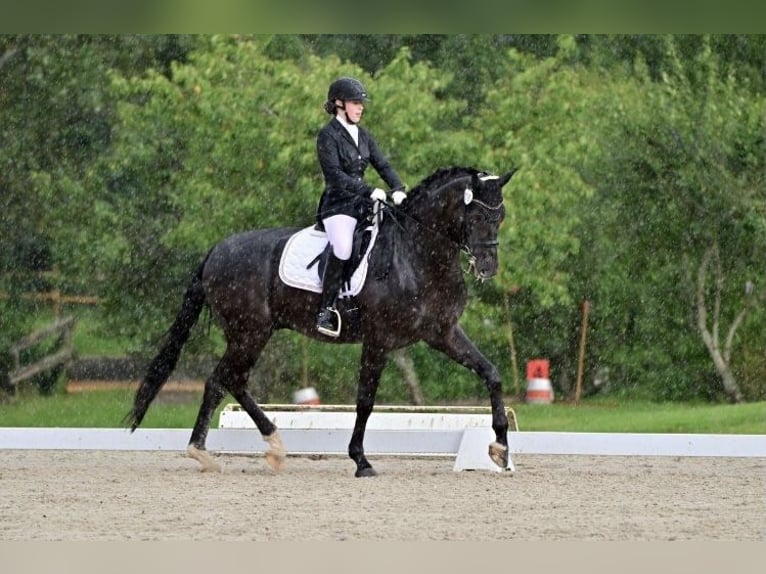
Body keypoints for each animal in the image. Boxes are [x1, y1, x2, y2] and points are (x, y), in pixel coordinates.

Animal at [126, 165, 518, 477]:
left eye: (499, 217)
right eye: (476, 217)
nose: (487, 268)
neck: (417, 254)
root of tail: (216, 250)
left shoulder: (443, 333)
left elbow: (491, 373)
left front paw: (500, 449)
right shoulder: (379, 340)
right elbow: (365, 401)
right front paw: (361, 461)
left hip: (253, 333)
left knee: (227, 380)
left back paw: (251, 448)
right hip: (249, 332)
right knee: (224, 379)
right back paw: (221, 450)